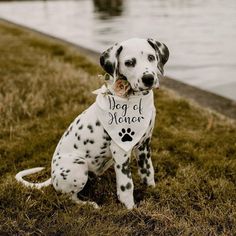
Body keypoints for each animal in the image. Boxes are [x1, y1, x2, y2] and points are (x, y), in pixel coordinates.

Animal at [15, 37, 169, 209]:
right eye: (129, 62)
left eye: (151, 57)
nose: (148, 78)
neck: (134, 99)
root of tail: (52, 176)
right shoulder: (120, 151)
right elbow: (127, 185)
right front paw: (130, 209)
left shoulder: (144, 145)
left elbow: (148, 172)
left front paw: (152, 191)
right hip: (78, 166)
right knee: (68, 196)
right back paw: (88, 204)